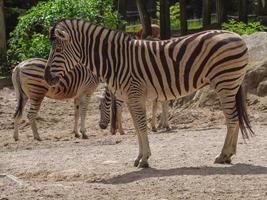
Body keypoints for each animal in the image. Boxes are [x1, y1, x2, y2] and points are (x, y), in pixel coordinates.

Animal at [44, 19, 255, 168]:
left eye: (58, 49)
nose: (46, 78)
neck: (116, 60)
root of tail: (237, 35)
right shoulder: (130, 97)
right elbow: (138, 128)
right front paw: (139, 157)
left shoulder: (135, 94)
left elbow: (142, 127)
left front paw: (145, 159)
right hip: (229, 84)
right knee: (234, 118)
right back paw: (228, 155)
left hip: (225, 83)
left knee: (232, 119)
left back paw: (223, 155)